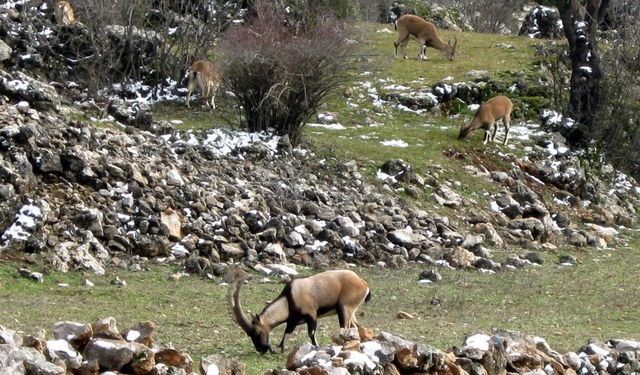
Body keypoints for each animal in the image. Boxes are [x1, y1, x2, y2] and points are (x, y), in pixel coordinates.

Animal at [229, 268, 370, 354]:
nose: (261, 349)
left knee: (346, 327)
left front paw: (316, 347)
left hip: (344, 308)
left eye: (257, 332)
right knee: (357, 327)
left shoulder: (311, 315)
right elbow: (286, 334)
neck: (289, 299)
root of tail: (363, 283)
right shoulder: (292, 322)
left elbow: (311, 333)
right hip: (351, 311)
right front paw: (280, 349)